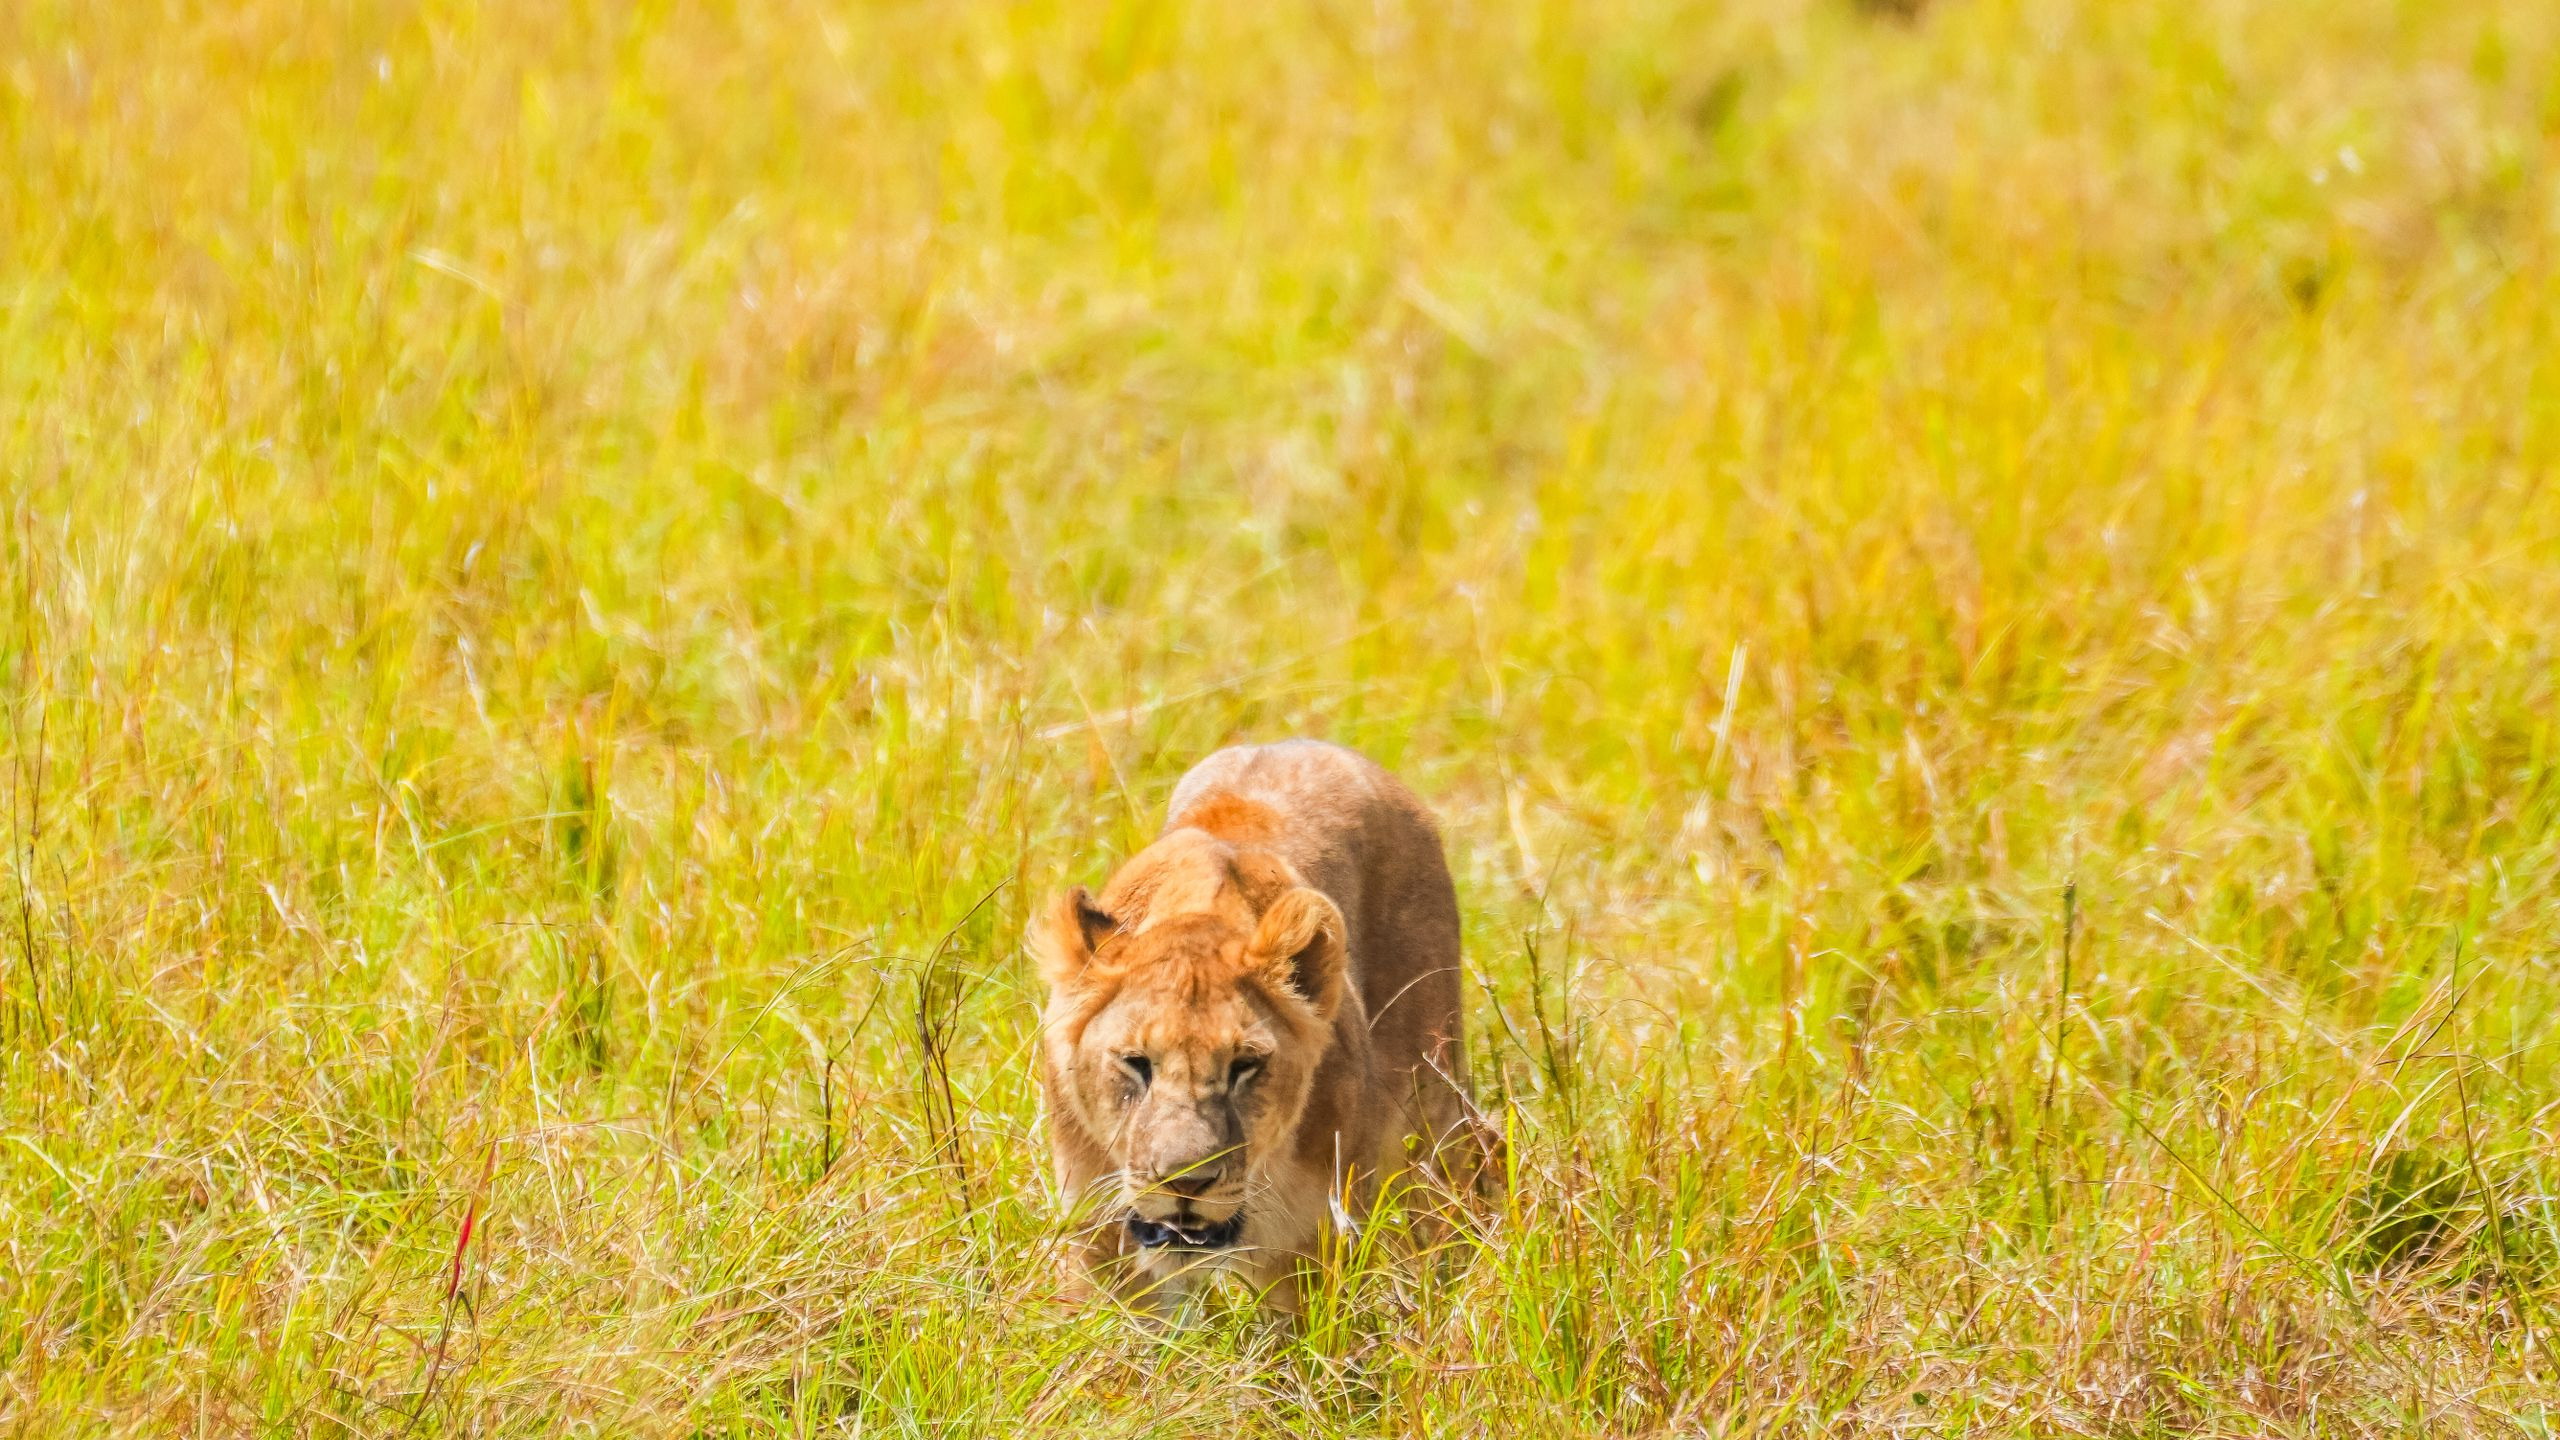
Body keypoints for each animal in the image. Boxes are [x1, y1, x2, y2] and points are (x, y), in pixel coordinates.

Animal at [1030, 739, 1479, 1317]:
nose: (1187, 1183)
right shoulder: (1097, 1234)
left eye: (1245, 1066)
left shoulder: (1313, 1240)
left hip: (1430, 1117)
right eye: (1135, 1064)